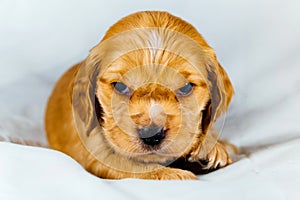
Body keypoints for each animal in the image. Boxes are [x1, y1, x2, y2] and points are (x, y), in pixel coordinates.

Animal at [45, 10, 236, 180]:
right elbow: (129, 165)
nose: (151, 134)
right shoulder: (95, 152)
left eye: (186, 88)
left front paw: (211, 148)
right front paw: (173, 174)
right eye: (120, 86)